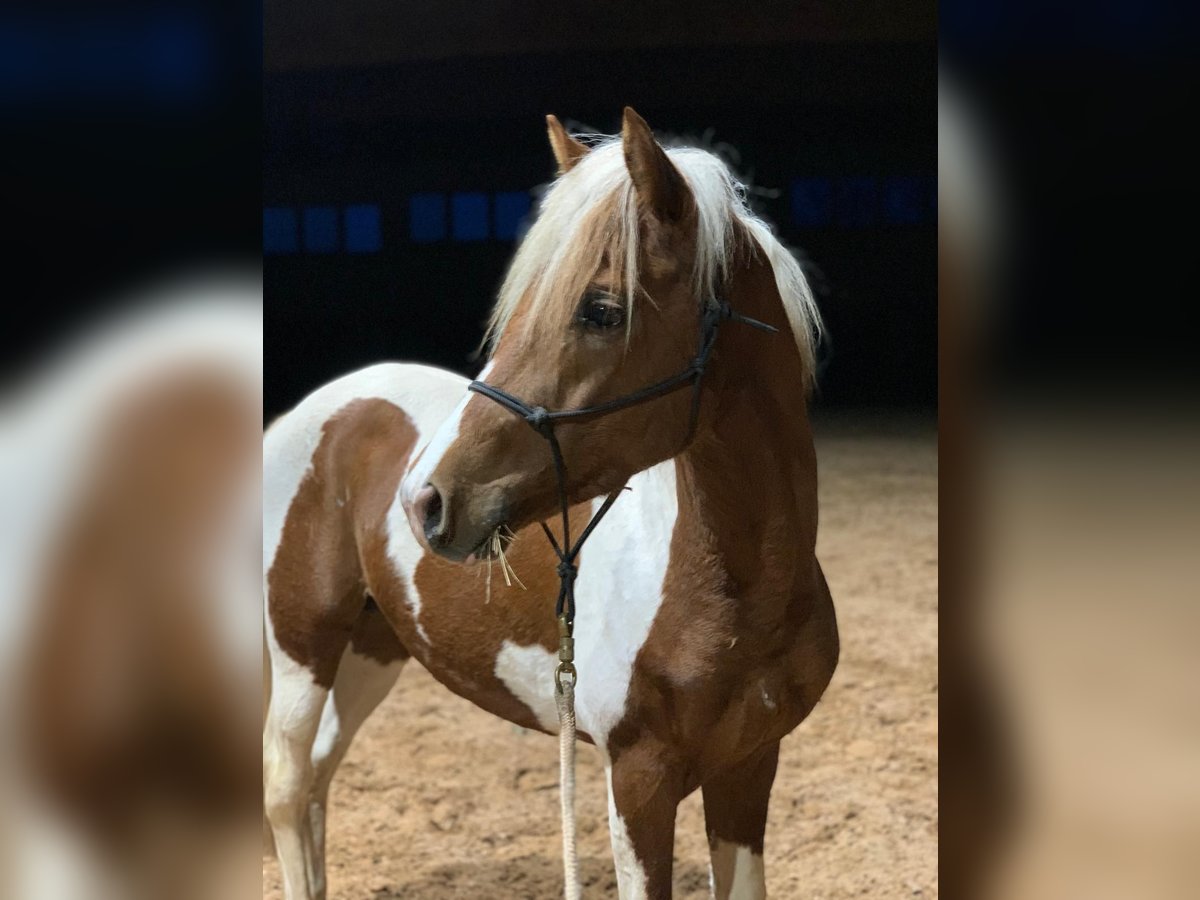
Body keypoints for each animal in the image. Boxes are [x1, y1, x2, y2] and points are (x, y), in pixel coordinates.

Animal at [264, 109, 840, 897]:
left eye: (601, 311)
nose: (425, 501)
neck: (730, 590)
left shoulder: (749, 769)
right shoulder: (637, 779)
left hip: (372, 645)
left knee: (321, 774)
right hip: (302, 648)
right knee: (289, 786)